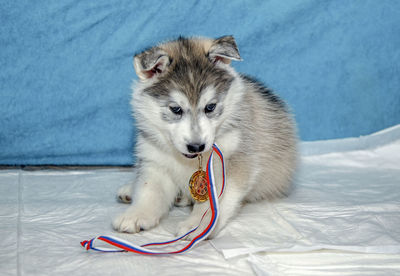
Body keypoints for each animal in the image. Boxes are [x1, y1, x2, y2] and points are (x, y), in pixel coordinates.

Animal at [112, 35, 296, 239]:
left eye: (210, 107)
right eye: (175, 109)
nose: (196, 146)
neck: (189, 160)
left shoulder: (233, 162)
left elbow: (214, 201)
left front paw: (199, 223)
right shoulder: (155, 161)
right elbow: (149, 190)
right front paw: (137, 214)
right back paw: (131, 190)